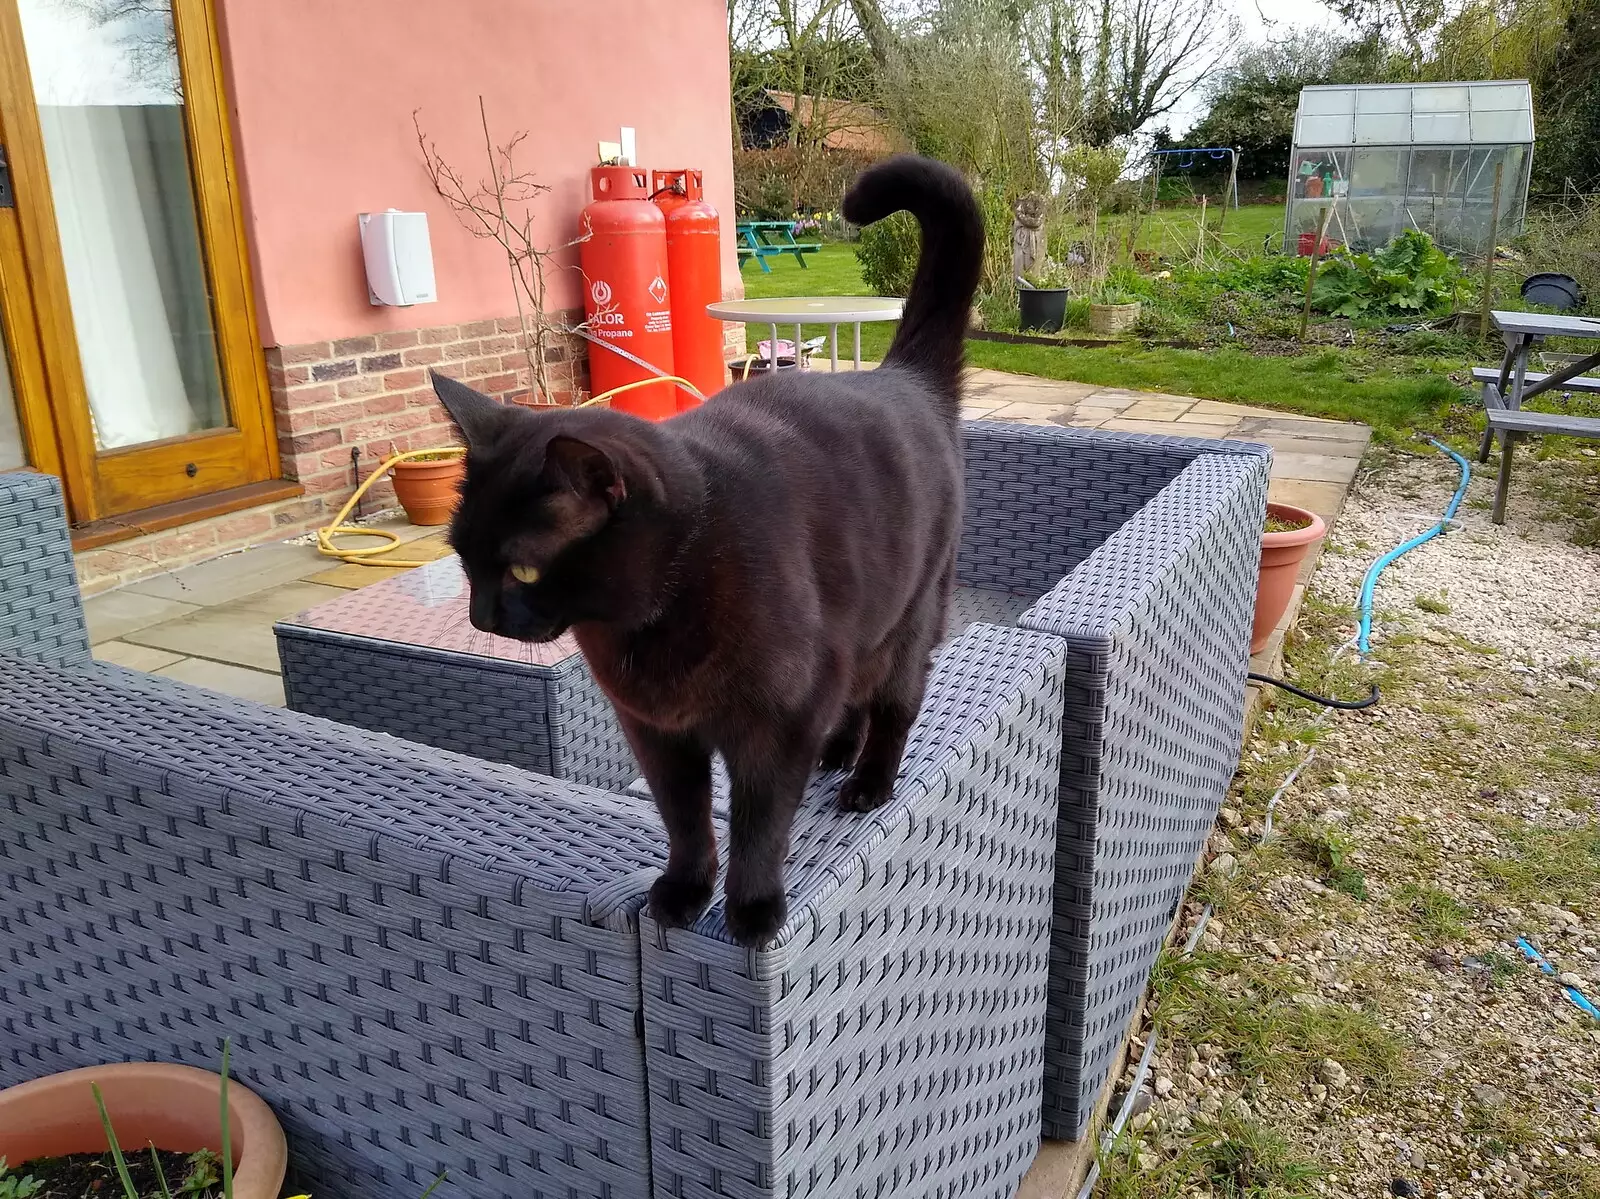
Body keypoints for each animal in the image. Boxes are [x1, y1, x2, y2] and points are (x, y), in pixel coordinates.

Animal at [432, 156, 992, 947]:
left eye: (522, 568)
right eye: (463, 559)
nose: (481, 615)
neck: (652, 617)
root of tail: (902, 375)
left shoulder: (773, 725)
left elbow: (760, 823)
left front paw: (752, 909)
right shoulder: (657, 735)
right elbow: (686, 819)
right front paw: (683, 890)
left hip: (909, 618)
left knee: (896, 702)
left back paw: (867, 781)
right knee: (851, 696)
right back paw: (836, 749)